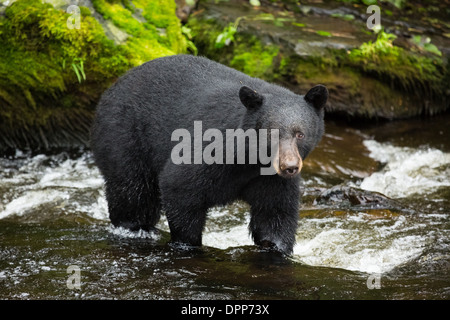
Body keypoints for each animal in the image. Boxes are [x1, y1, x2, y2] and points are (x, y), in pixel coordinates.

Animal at [91, 55, 328, 255]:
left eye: (300, 134)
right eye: (271, 133)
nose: (290, 166)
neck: (249, 159)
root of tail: (112, 87)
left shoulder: (270, 179)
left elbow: (274, 214)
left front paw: (277, 247)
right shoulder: (208, 149)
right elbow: (179, 185)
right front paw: (188, 243)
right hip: (125, 136)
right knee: (132, 191)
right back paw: (135, 227)